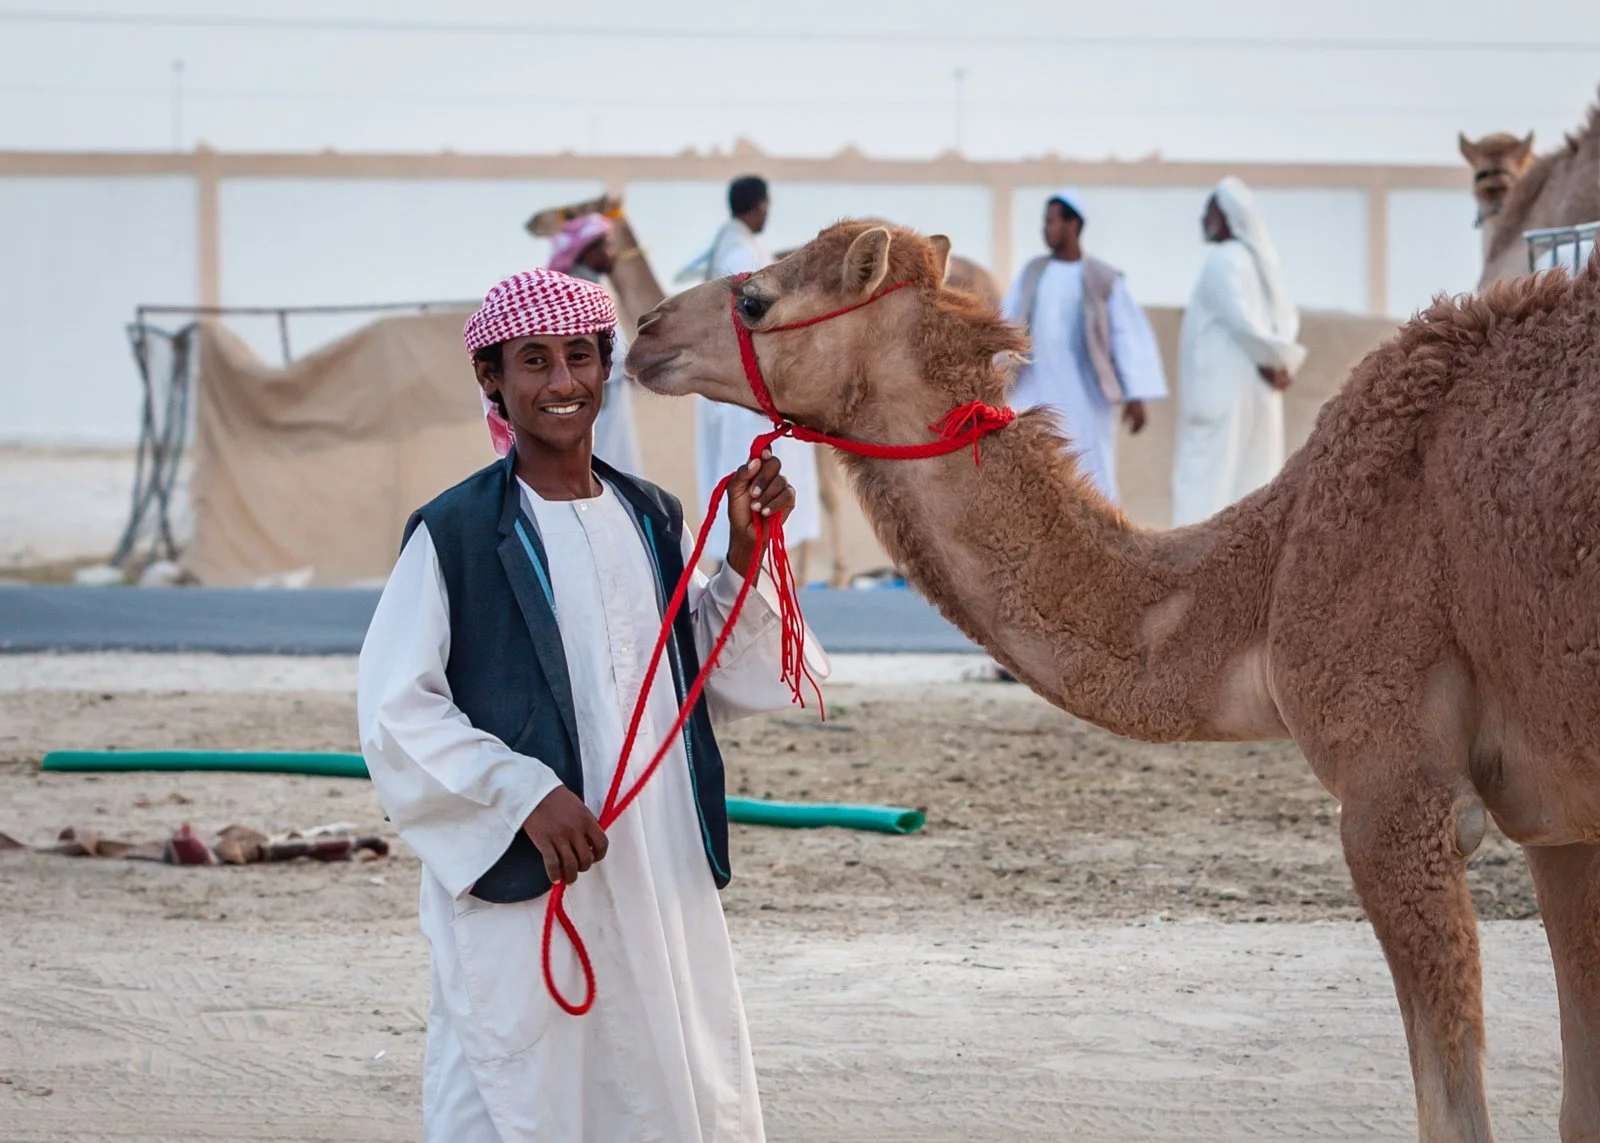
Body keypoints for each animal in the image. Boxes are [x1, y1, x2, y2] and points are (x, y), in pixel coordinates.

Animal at [624, 220, 1600, 1142]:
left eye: (756, 299)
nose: (643, 331)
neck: (1268, 569)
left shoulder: (1399, 798)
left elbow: (1453, 1113)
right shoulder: (1559, 819)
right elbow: (1575, 1105)